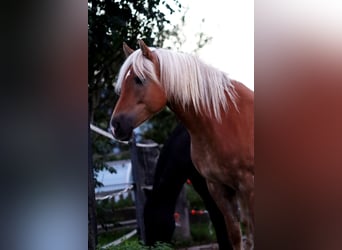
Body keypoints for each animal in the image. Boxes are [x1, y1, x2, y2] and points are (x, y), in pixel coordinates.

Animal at [109, 40, 254, 249]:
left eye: (139, 79)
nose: (116, 126)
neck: (225, 121)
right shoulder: (218, 188)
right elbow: (234, 236)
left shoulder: (247, 186)